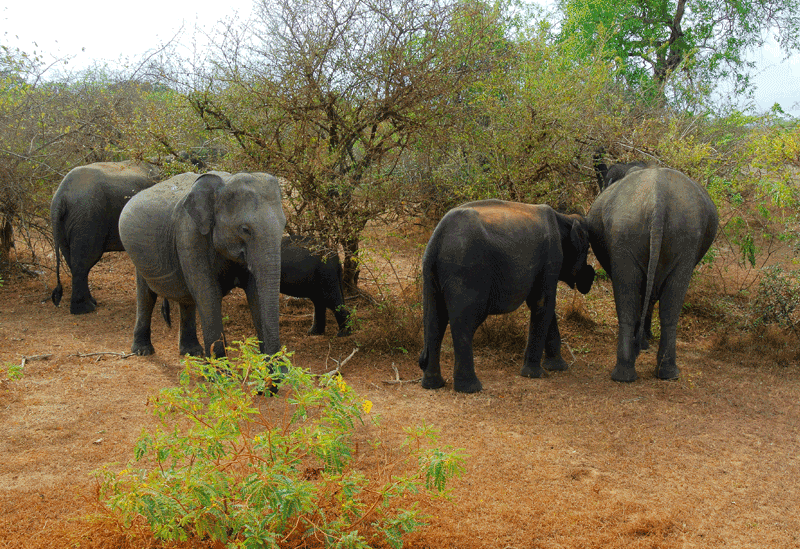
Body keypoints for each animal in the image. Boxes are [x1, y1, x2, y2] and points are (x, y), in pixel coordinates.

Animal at [50, 159, 161, 312]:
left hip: (65, 224)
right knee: (84, 261)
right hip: (87, 218)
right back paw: (86, 309)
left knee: (71, 259)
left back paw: (90, 303)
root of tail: (60, 198)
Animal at [115, 172, 284, 360]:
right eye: (245, 229)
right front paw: (220, 367)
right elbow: (208, 294)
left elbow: (254, 293)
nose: (272, 360)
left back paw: (192, 352)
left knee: (186, 298)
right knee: (147, 295)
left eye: (284, 225)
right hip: (139, 256)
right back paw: (142, 351)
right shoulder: (189, 235)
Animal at [418, 199, 592, 392]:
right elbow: (543, 303)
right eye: (588, 249)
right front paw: (534, 375)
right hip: (466, 271)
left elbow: (539, 303)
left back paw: (433, 385)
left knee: (434, 321)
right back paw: (471, 388)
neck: (564, 217)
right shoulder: (551, 257)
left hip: (431, 274)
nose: (590, 279)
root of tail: (437, 237)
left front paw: (557, 368)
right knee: (464, 323)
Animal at [580, 167, 720, 382]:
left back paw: (633, 372)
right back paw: (658, 371)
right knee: (666, 304)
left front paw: (644, 341)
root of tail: (658, 198)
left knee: (633, 298)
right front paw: (645, 341)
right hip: (672, 235)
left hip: (638, 233)